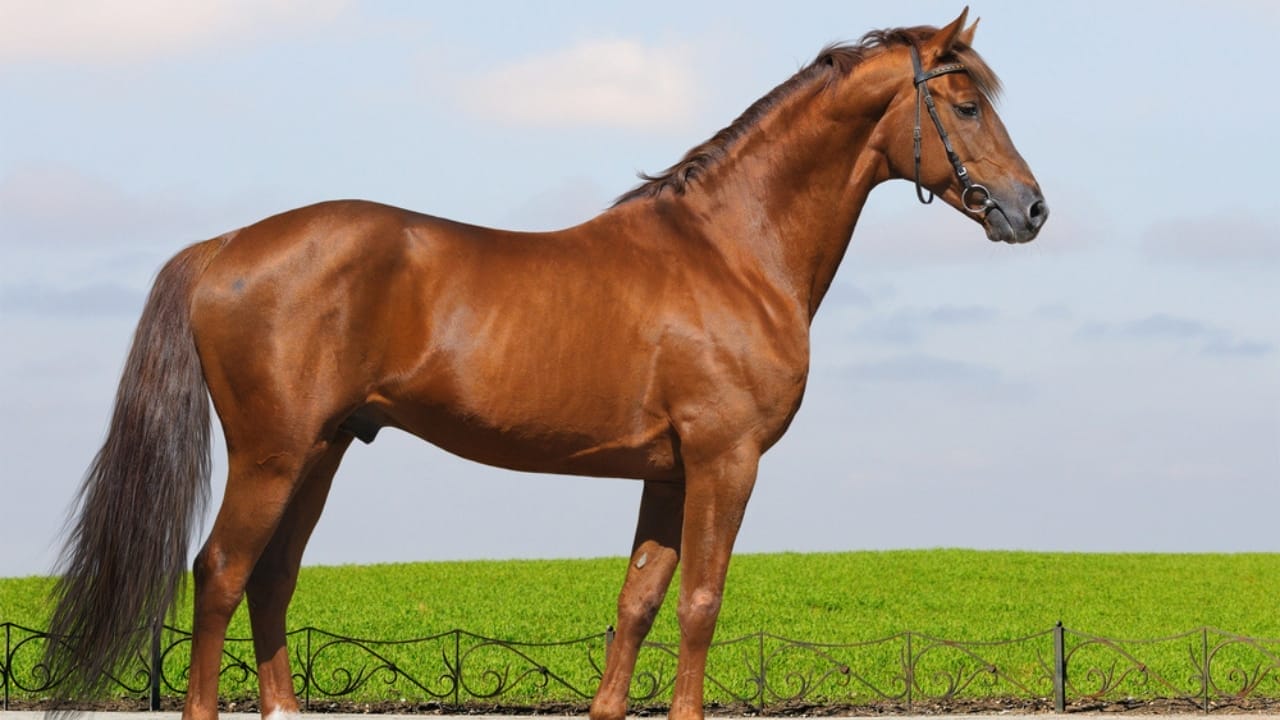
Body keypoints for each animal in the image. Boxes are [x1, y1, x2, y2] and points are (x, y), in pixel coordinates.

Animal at [45, 9, 1046, 720]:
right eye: (965, 105)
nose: (1030, 209)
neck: (730, 250)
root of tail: (223, 247)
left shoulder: (668, 473)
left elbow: (638, 603)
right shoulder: (725, 461)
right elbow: (700, 602)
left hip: (320, 452)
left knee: (271, 577)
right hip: (272, 455)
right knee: (220, 574)